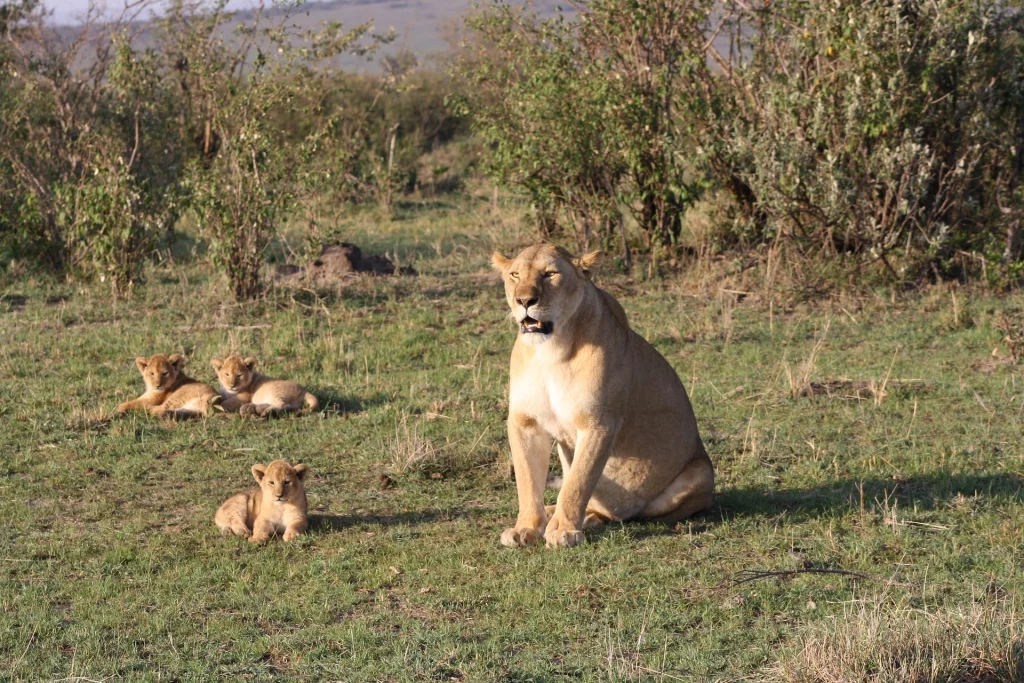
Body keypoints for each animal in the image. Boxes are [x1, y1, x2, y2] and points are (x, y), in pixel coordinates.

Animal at [491, 244, 715, 548]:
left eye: (550, 274)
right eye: (515, 275)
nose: (524, 300)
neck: (550, 351)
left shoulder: (599, 423)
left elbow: (578, 482)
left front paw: (563, 531)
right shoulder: (525, 422)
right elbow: (527, 481)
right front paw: (526, 528)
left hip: (701, 473)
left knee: (616, 512)